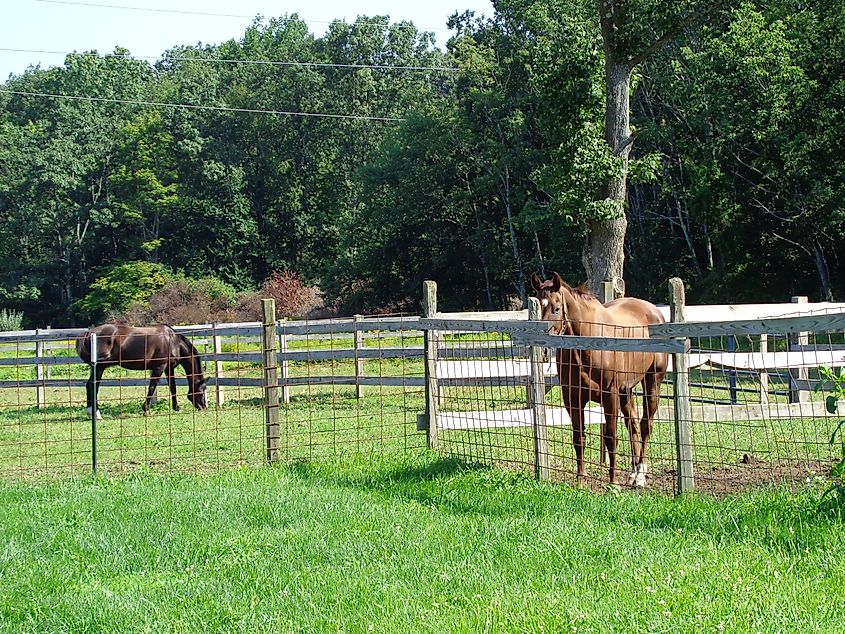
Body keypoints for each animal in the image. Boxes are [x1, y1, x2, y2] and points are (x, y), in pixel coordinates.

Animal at [74, 324, 209, 418]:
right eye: (201, 391)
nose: (204, 408)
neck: (172, 341)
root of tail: (88, 333)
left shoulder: (169, 368)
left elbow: (173, 388)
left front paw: (176, 408)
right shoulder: (159, 367)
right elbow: (152, 387)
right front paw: (146, 410)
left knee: (91, 386)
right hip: (99, 368)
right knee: (92, 386)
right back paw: (96, 414)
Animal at [536, 270, 664, 484]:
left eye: (556, 308)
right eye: (539, 306)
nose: (544, 348)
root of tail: (654, 311)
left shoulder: (610, 395)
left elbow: (611, 438)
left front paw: (613, 483)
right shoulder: (573, 398)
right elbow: (579, 438)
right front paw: (581, 479)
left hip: (652, 381)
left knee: (646, 425)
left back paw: (640, 475)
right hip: (626, 391)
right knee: (633, 424)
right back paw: (633, 472)